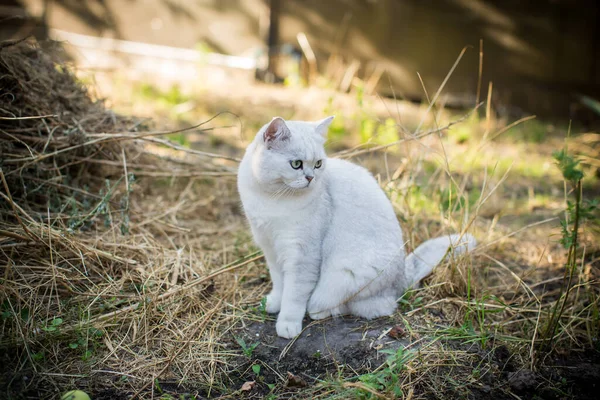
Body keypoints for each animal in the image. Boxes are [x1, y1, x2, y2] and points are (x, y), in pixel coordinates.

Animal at [234, 115, 474, 338]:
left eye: (318, 164)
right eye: (296, 164)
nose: (311, 178)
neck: (273, 199)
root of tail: (403, 277)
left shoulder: (302, 255)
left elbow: (293, 294)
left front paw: (287, 323)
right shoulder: (271, 248)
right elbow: (279, 282)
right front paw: (274, 303)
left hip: (343, 278)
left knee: (357, 306)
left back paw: (319, 311)